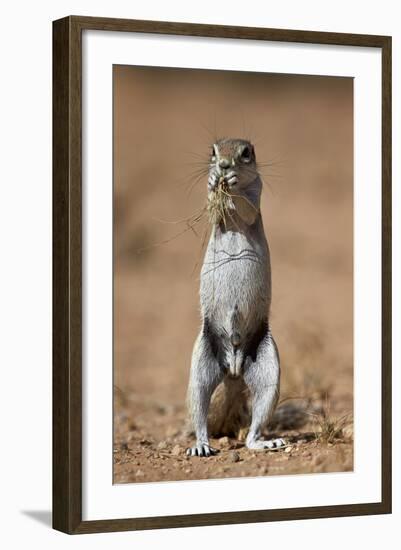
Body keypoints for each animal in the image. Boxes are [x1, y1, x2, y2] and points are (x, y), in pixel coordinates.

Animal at [185, 138, 282, 458]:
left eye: (246, 153)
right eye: (212, 151)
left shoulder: (257, 194)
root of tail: (234, 370)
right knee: (199, 408)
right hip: (201, 365)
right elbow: (214, 207)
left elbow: (248, 209)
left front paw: (234, 182)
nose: (224, 165)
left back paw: (264, 442)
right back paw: (201, 445)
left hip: (269, 369)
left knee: (256, 424)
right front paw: (213, 181)